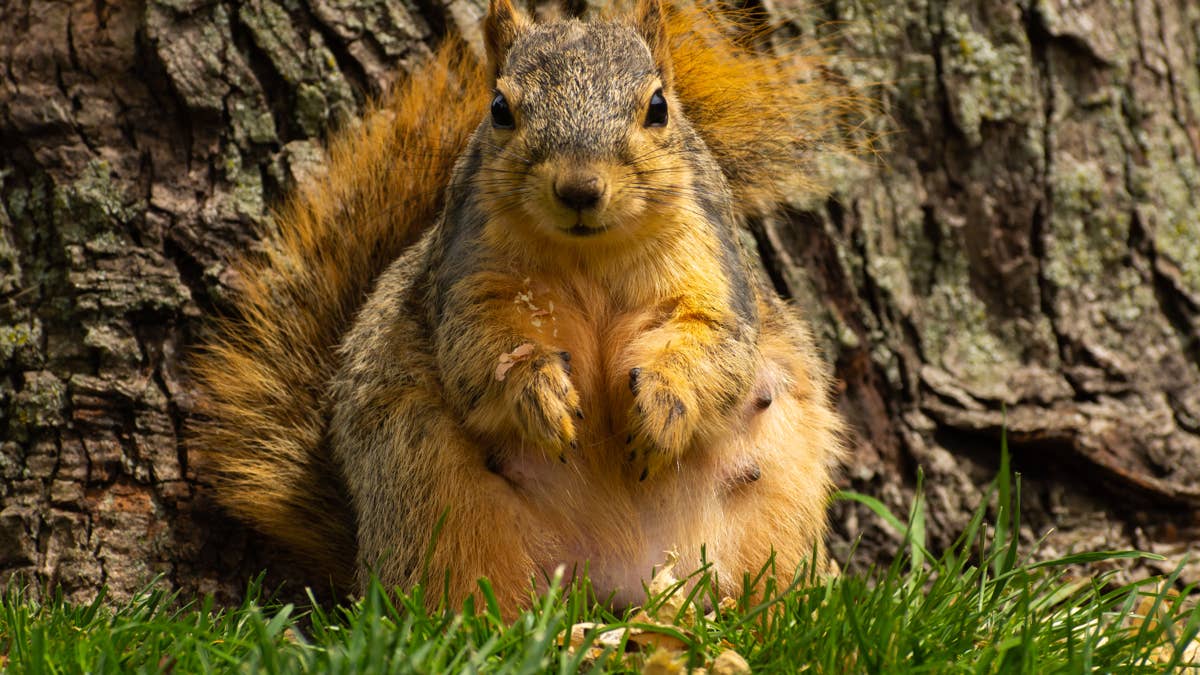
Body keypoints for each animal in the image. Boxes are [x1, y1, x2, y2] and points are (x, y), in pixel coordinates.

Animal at [192, 0, 847, 614]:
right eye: (501, 109)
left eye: (659, 107)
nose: (580, 188)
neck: (588, 256)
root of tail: (620, 586)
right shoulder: (467, 283)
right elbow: (482, 350)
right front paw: (538, 392)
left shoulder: (714, 270)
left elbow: (714, 342)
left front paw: (663, 404)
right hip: (438, 505)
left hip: (777, 512)